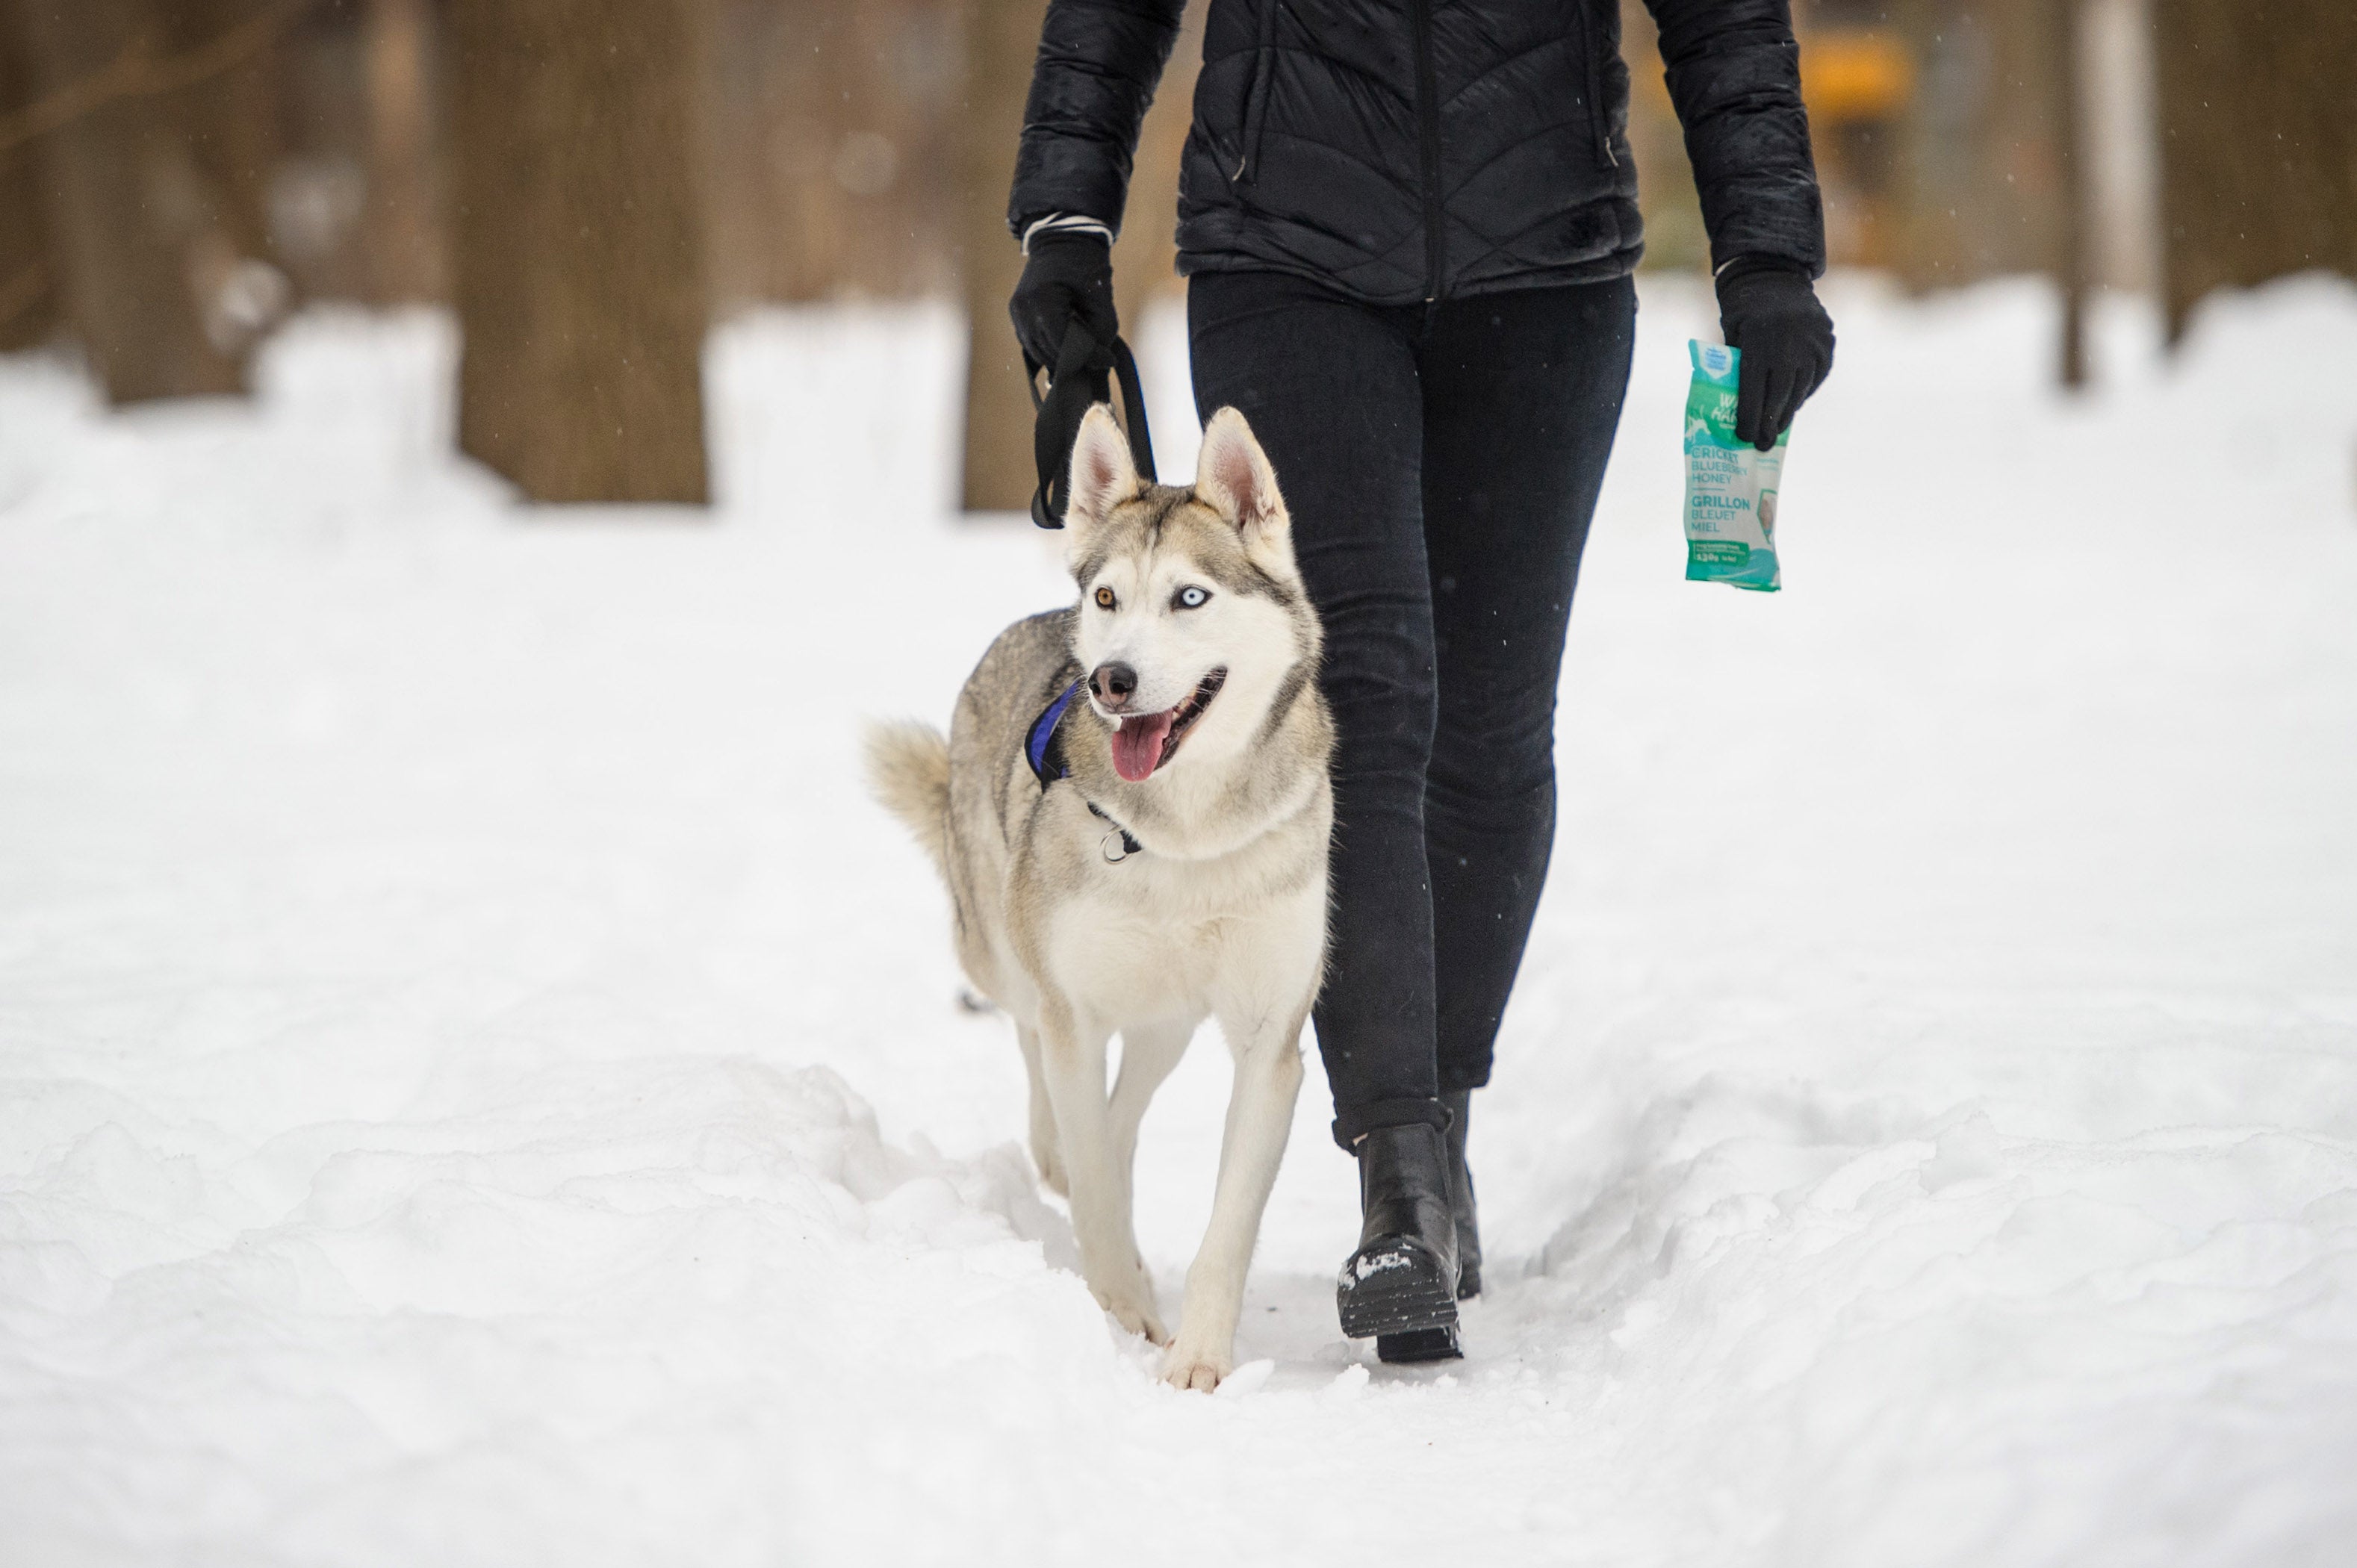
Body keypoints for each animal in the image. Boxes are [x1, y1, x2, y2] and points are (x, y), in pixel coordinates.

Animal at [872, 405, 1348, 1396]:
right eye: (1109, 600)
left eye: (1190, 599)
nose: (1112, 681)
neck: (1187, 832)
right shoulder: (1076, 1009)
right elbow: (1089, 1178)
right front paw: (1115, 1313)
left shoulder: (1269, 1041)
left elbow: (1223, 1222)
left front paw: (1198, 1357)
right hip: (1005, 954)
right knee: (1040, 1057)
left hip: (1167, 1017)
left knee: (1124, 1115)